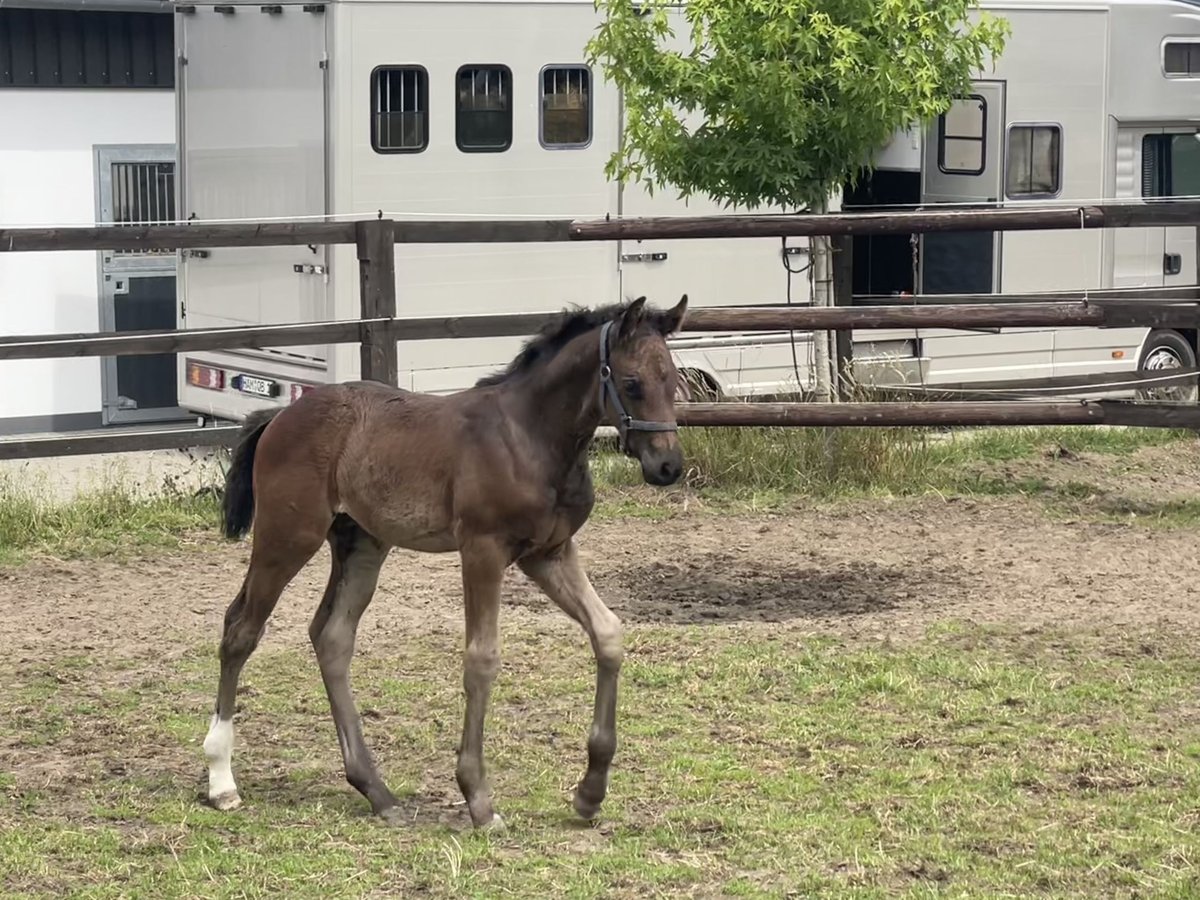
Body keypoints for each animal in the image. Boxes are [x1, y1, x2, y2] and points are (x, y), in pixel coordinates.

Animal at [202, 294, 691, 830]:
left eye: (674, 379)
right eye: (632, 382)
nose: (668, 467)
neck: (529, 437)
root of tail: (281, 415)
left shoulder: (549, 553)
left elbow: (608, 633)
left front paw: (590, 792)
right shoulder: (482, 549)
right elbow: (481, 659)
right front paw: (478, 799)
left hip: (362, 544)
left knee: (331, 637)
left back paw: (377, 792)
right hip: (288, 536)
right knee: (240, 628)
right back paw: (222, 781)